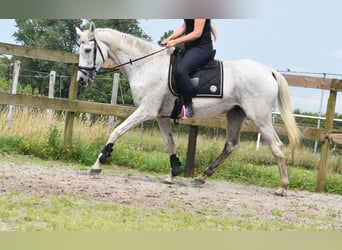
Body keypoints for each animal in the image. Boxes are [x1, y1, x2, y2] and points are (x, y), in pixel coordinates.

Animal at [76, 23, 300, 195]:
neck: (147, 65)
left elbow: (117, 131)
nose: (81, 80)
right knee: (230, 145)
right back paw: (201, 177)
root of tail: (269, 71)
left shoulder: (146, 110)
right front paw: (173, 172)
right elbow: (170, 143)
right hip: (236, 114)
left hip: (260, 117)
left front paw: (98, 163)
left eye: (87, 50)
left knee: (276, 146)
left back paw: (282, 187)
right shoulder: (160, 116)